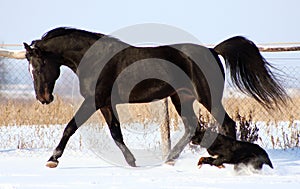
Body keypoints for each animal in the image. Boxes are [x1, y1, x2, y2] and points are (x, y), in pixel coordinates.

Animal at [22, 27, 288, 168]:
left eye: (40, 64)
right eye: (30, 67)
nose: (44, 98)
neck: (95, 58)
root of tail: (213, 51)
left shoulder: (94, 101)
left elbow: (70, 127)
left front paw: (52, 160)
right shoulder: (106, 103)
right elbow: (116, 133)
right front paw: (132, 162)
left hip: (207, 96)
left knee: (226, 123)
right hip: (181, 98)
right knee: (192, 127)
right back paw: (170, 160)